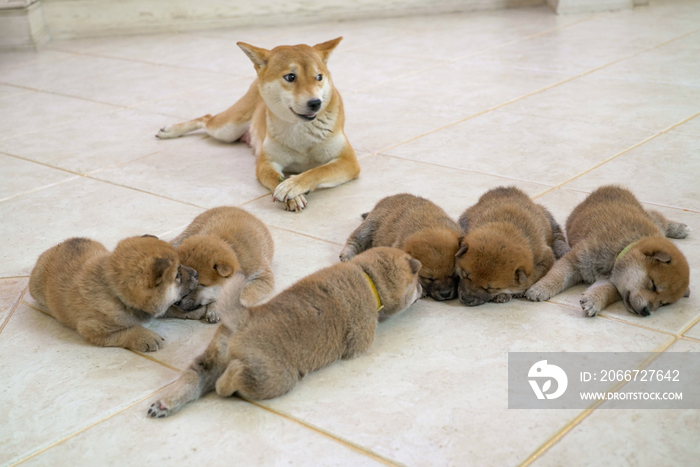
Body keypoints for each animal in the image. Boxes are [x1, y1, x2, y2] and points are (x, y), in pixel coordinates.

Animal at [28, 236, 196, 352]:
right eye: (177, 275)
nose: (196, 273)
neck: (115, 292)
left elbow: (168, 308)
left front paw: (191, 311)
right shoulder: (95, 330)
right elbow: (128, 331)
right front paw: (146, 337)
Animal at [148, 247, 422, 418]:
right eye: (417, 281)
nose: (423, 290)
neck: (367, 276)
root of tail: (243, 318)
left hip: (210, 360)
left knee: (192, 380)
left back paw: (164, 403)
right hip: (275, 377)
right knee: (232, 380)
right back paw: (225, 382)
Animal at [155, 37, 358, 213]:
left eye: (319, 77)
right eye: (290, 77)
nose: (316, 103)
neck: (300, 128)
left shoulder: (348, 161)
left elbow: (317, 171)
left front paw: (293, 185)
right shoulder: (266, 162)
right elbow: (276, 178)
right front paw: (291, 194)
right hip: (226, 129)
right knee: (206, 118)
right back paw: (170, 131)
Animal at [528, 186, 692, 318]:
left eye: (663, 303)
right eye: (653, 285)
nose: (646, 312)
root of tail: (612, 187)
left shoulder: (614, 281)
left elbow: (605, 290)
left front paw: (593, 301)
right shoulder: (575, 259)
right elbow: (557, 276)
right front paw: (539, 289)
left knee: (657, 216)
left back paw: (679, 228)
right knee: (657, 215)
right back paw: (680, 228)